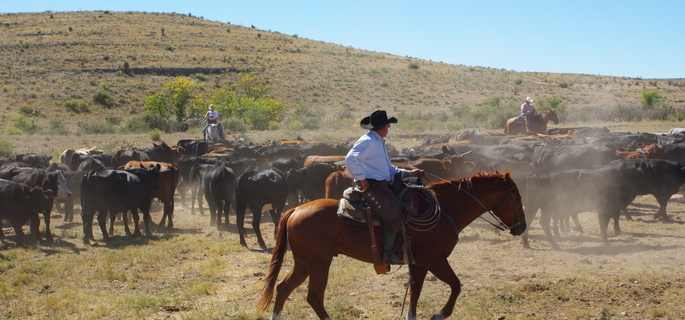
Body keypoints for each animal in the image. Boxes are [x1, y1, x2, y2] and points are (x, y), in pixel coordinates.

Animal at [255, 172, 524, 320]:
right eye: (517, 197)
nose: (520, 227)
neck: (445, 209)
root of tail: (294, 210)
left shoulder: (419, 263)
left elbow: (415, 292)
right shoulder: (435, 259)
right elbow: (456, 285)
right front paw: (440, 314)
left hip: (304, 263)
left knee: (283, 288)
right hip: (319, 264)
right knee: (314, 297)